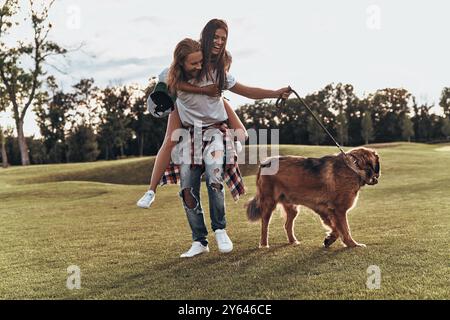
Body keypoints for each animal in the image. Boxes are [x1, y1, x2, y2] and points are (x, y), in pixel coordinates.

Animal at [246, 148, 380, 248]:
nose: (378, 177)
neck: (355, 166)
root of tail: (264, 163)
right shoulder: (339, 210)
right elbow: (345, 229)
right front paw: (353, 244)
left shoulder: (326, 210)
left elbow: (336, 228)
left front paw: (330, 238)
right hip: (268, 203)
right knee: (264, 225)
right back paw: (264, 244)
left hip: (292, 207)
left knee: (287, 225)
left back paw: (293, 241)